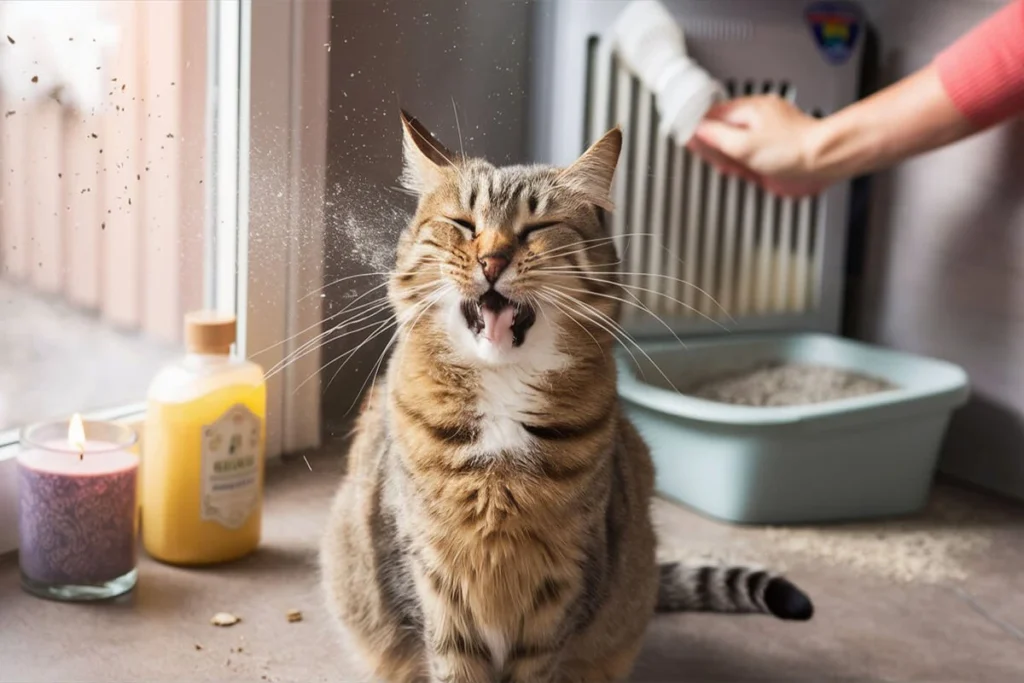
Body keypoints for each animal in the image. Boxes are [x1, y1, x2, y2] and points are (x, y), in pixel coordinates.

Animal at [319, 113, 815, 683]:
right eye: (463, 224)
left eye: (537, 229)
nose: (492, 260)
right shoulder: (430, 578)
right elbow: (452, 662)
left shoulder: (563, 584)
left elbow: (538, 664)